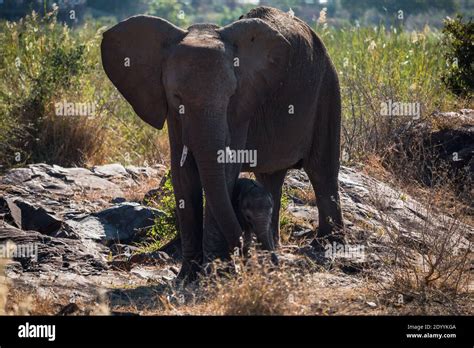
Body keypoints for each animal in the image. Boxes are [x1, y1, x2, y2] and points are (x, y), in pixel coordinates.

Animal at [101, 6, 344, 280]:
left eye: (230, 96)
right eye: (176, 97)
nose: (242, 253)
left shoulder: (240, 107)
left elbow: (224, 168)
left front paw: (217, 274)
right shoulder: (173, 113)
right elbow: (182, 172)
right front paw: (188, 275)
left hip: (328, 89)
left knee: (322, 170)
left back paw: (326, 245)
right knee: (271, 176)